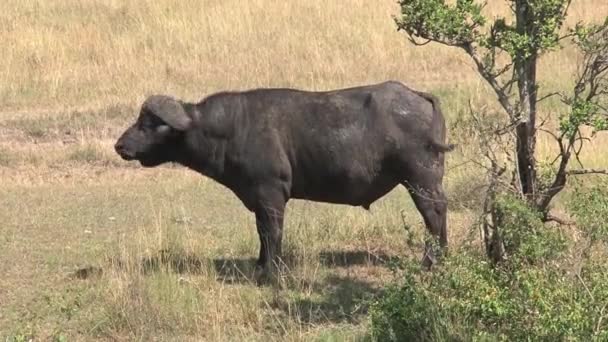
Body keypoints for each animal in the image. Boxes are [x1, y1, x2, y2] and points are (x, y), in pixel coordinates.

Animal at [115, 81, 452, 284]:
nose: (120, 145)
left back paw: (428, 263)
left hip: (420, 180)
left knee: (433, 216)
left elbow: (272, 233)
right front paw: (260, 266)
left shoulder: (271, 196)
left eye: (148, 124)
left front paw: (271, 274)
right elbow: (261, 234)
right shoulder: (259, 200)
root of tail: (417, 95)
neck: (231, 130)